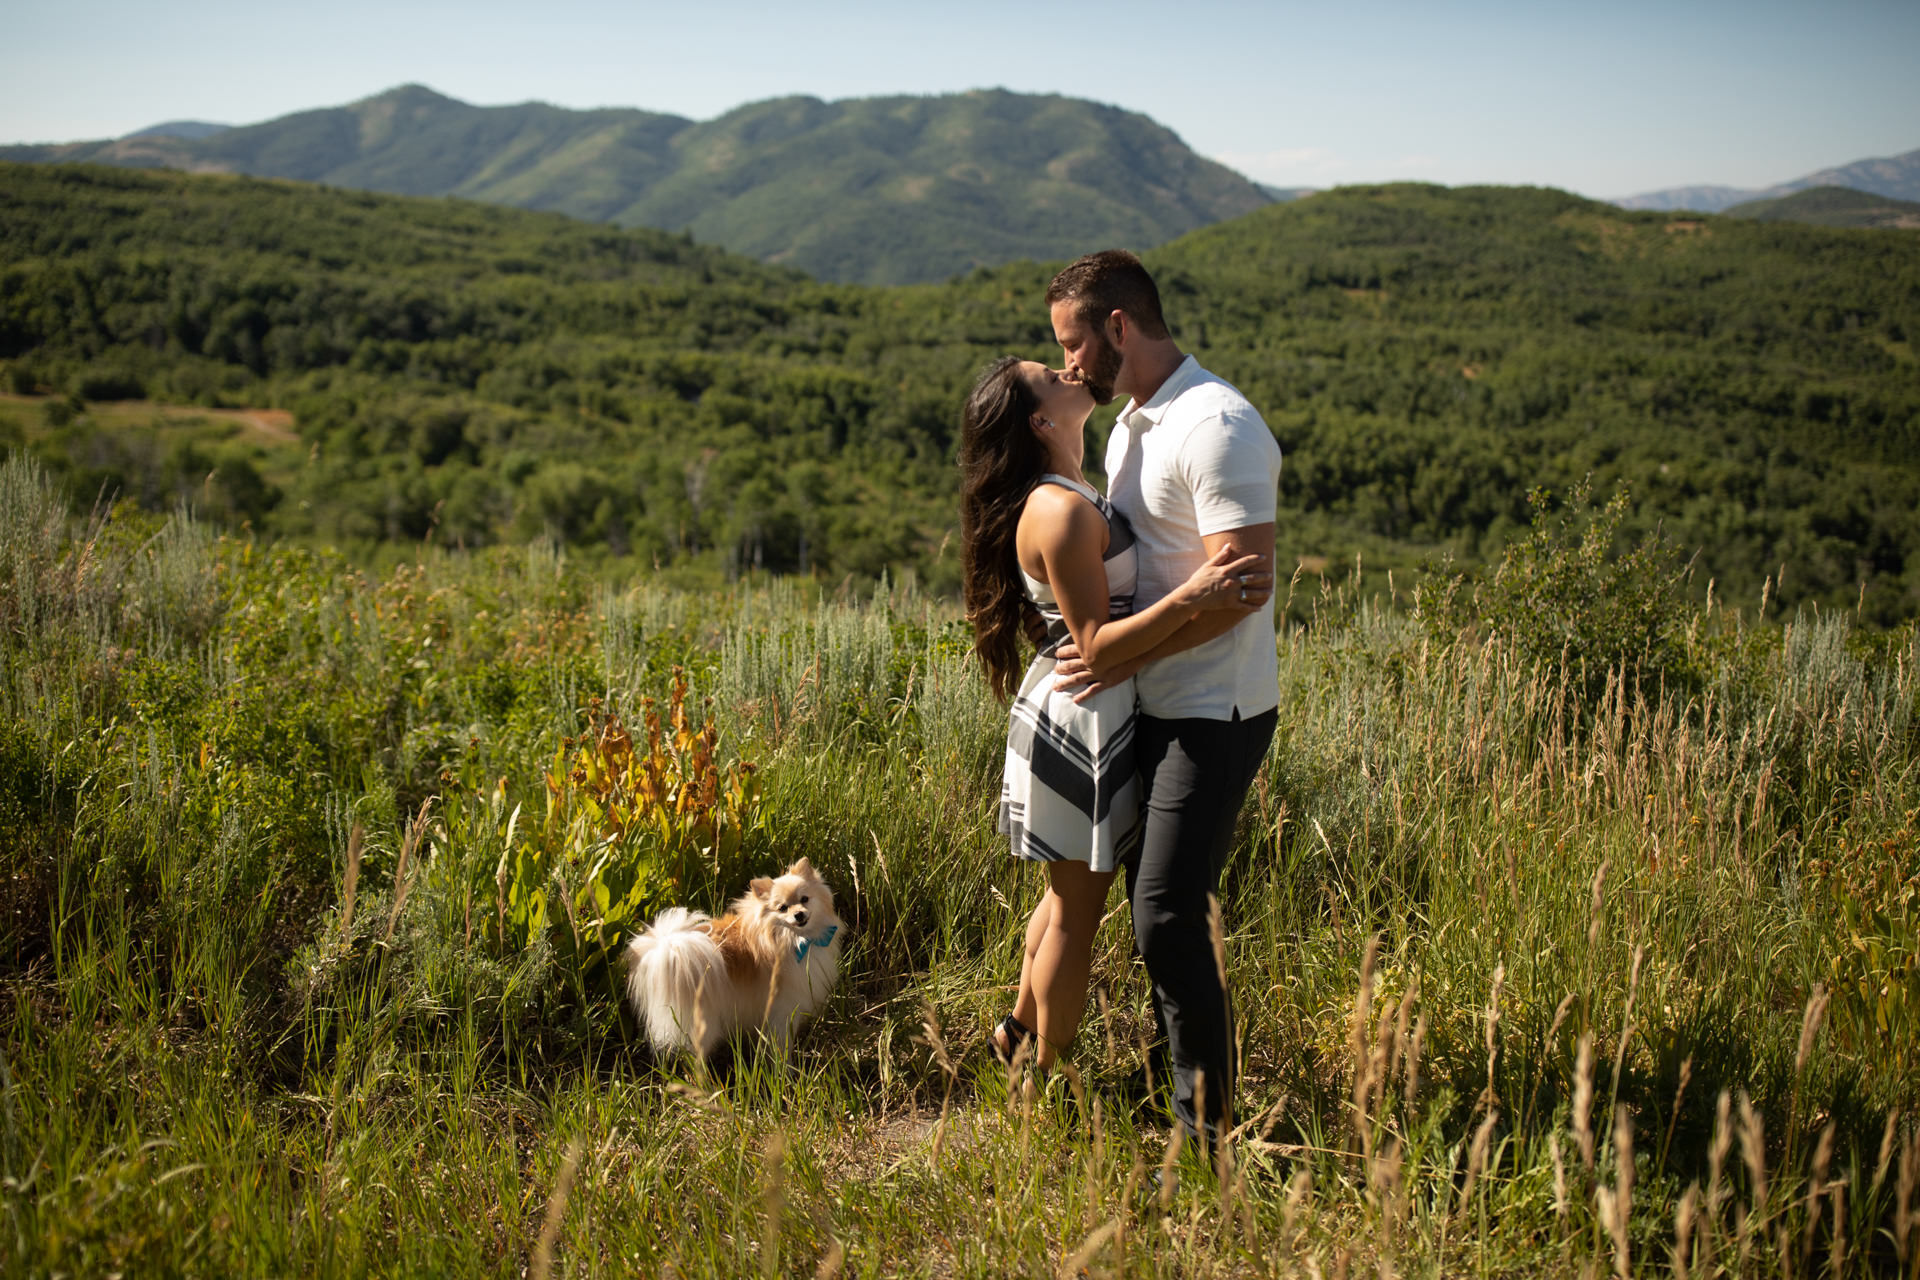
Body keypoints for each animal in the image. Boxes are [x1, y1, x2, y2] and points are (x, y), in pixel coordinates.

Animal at [625, 859, 844, 1059]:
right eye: (782, 908)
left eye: (805, 899)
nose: (798, 914)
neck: (794, 939)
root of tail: (670, 945)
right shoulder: (783, 1009)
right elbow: (782, 1048)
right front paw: (785, 1070)